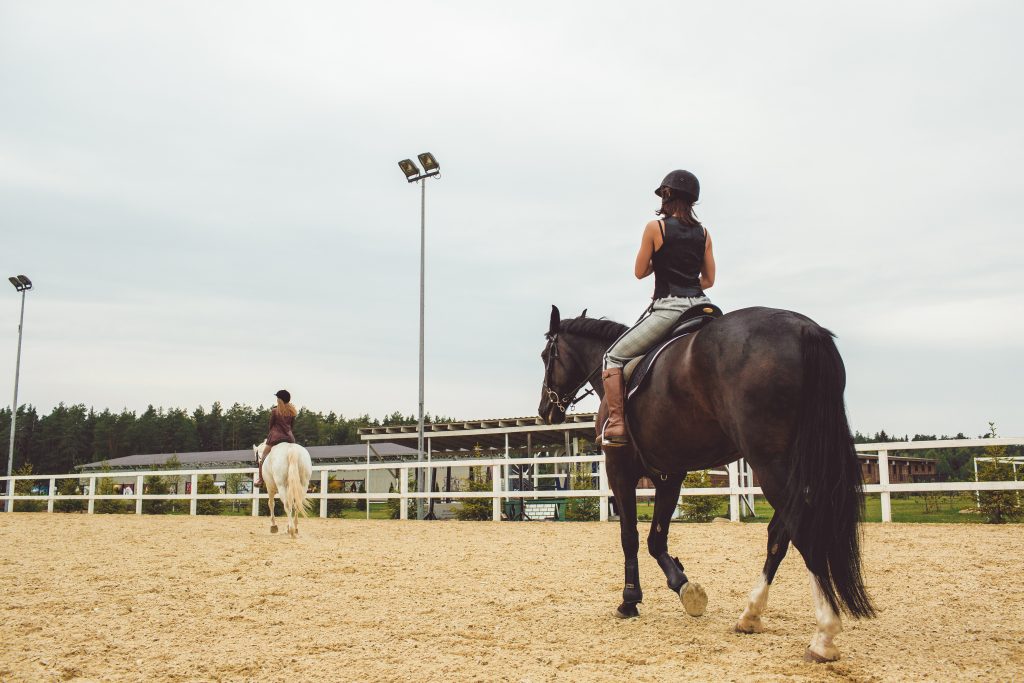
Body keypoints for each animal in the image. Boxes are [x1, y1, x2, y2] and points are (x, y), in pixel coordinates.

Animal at [540, 305, 876, 663]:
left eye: (547, 355)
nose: (546, 411)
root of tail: (803, 329)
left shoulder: (620, 469)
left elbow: (629, 536)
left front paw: (630, 599)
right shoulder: (669, 474)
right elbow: (656, 539)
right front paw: (683, 586)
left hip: (770, 464)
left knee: (803, 532)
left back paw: (824, 635)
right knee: (779, 536)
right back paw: (751, 615)